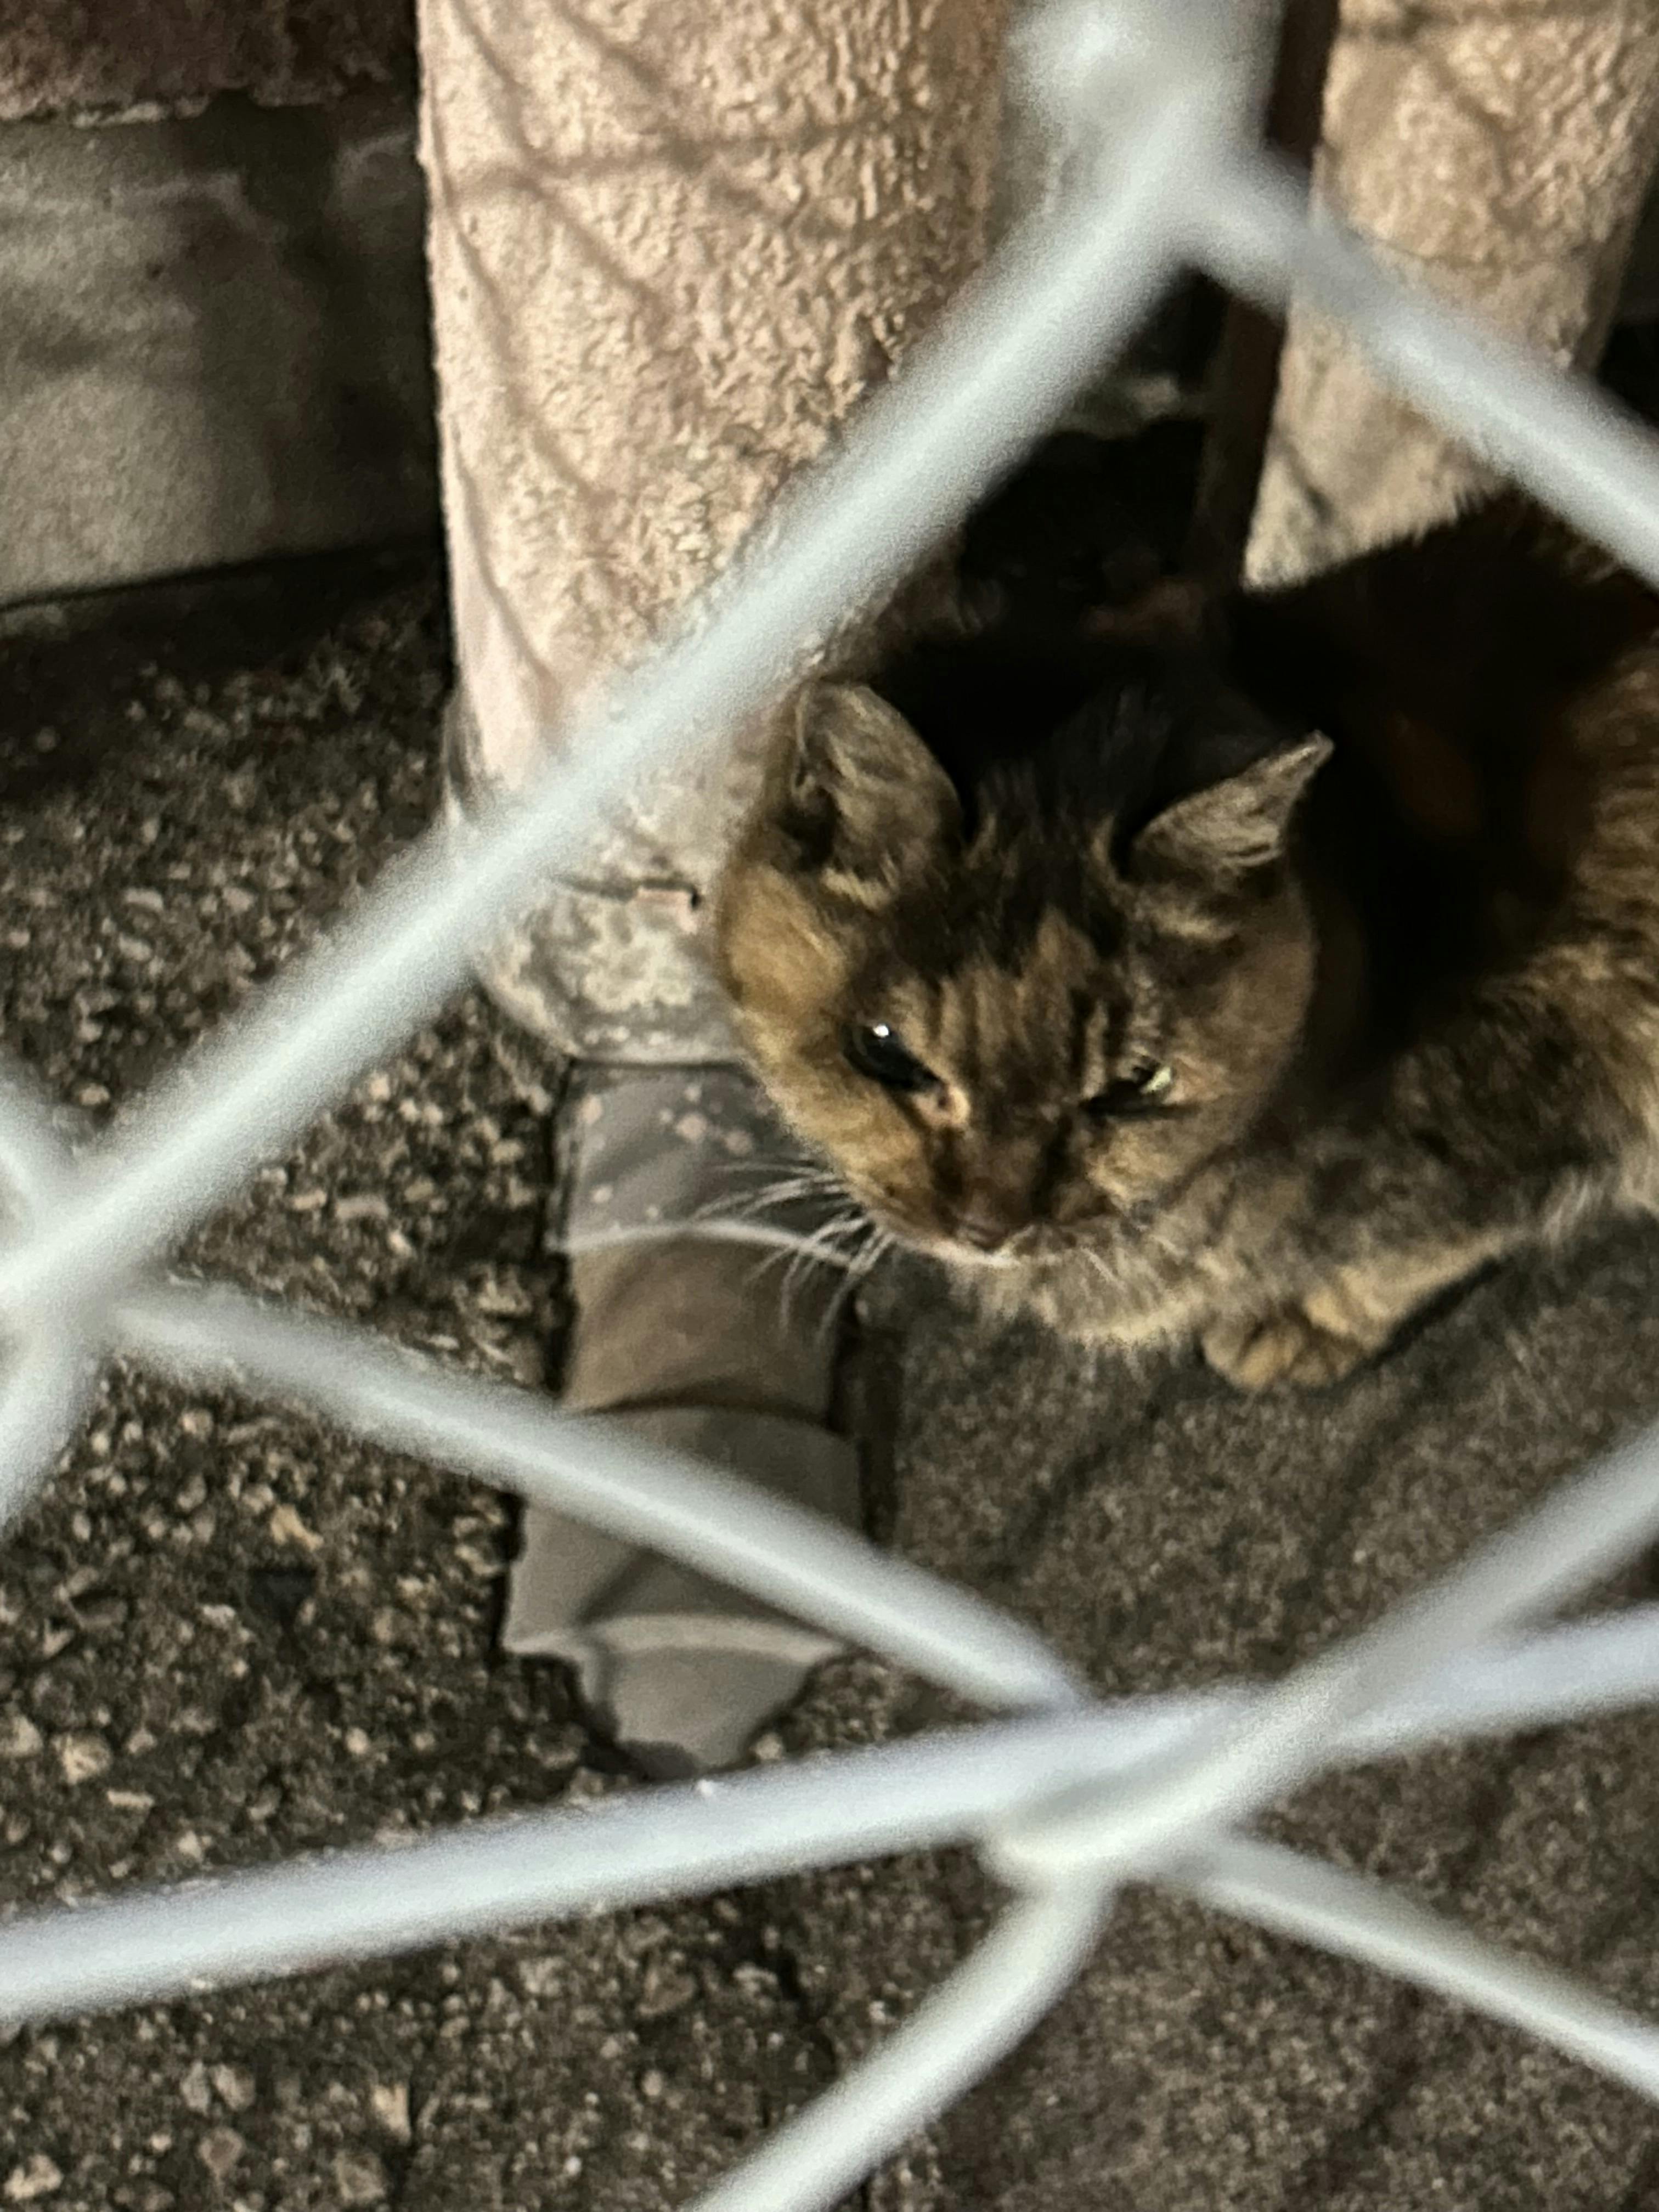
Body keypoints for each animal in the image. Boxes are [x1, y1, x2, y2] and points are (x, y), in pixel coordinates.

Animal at [713, 498, 1659, 1388]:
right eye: (885, 1053)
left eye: (1137, 1086)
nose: (990, 1227)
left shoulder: (1529, 1121)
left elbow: (1407, 1253)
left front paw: (1299, 1323)